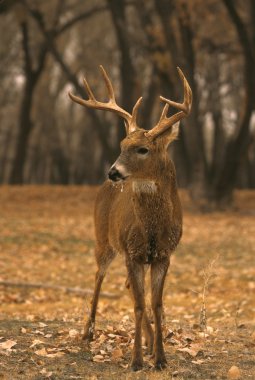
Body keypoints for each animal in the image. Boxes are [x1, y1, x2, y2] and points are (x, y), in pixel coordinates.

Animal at [67, 66, 191, 372]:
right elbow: (138, 304)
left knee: (130, 290)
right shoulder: (132, 253)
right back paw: (88, 332)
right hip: (104, 239)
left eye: (143, 149)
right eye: (123, 144)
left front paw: (160, 358)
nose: (113, 172)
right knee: (98, 277)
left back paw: (148, 342)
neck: (152, 229)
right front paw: (136, 361)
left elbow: (155, 305)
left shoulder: (163, 254)